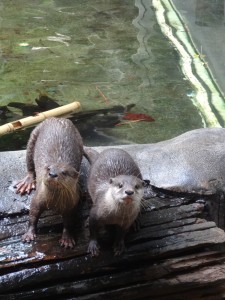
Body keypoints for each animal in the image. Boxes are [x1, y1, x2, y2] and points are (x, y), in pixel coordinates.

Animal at [14, 117, 83, 248]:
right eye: (48, 168)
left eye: (64, 172)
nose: (52, 174)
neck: (54, 201)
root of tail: (57, 118)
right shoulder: (38, 197)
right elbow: (32, 215)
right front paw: (29, 234)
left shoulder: (72, 204)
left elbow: (69, 222)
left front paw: (67, 238)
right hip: (33, 137)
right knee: (29, 165)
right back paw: (27, 182)